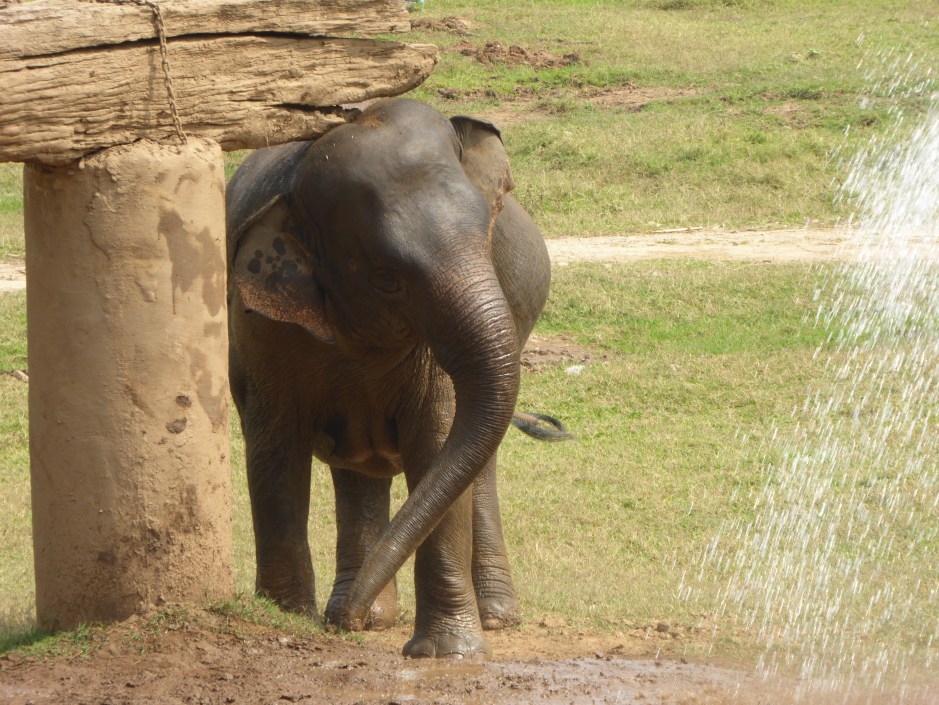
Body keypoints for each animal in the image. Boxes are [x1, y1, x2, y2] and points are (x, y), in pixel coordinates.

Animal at [226, 98, 555, 659]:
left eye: (487, 237)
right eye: (387, 279)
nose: (344, 625)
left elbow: (438, 442)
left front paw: (445, 653)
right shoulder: (259, 326)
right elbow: (274, 449)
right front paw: (287, 618)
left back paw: (493, 616)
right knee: (355, 466)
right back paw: (370, 613)